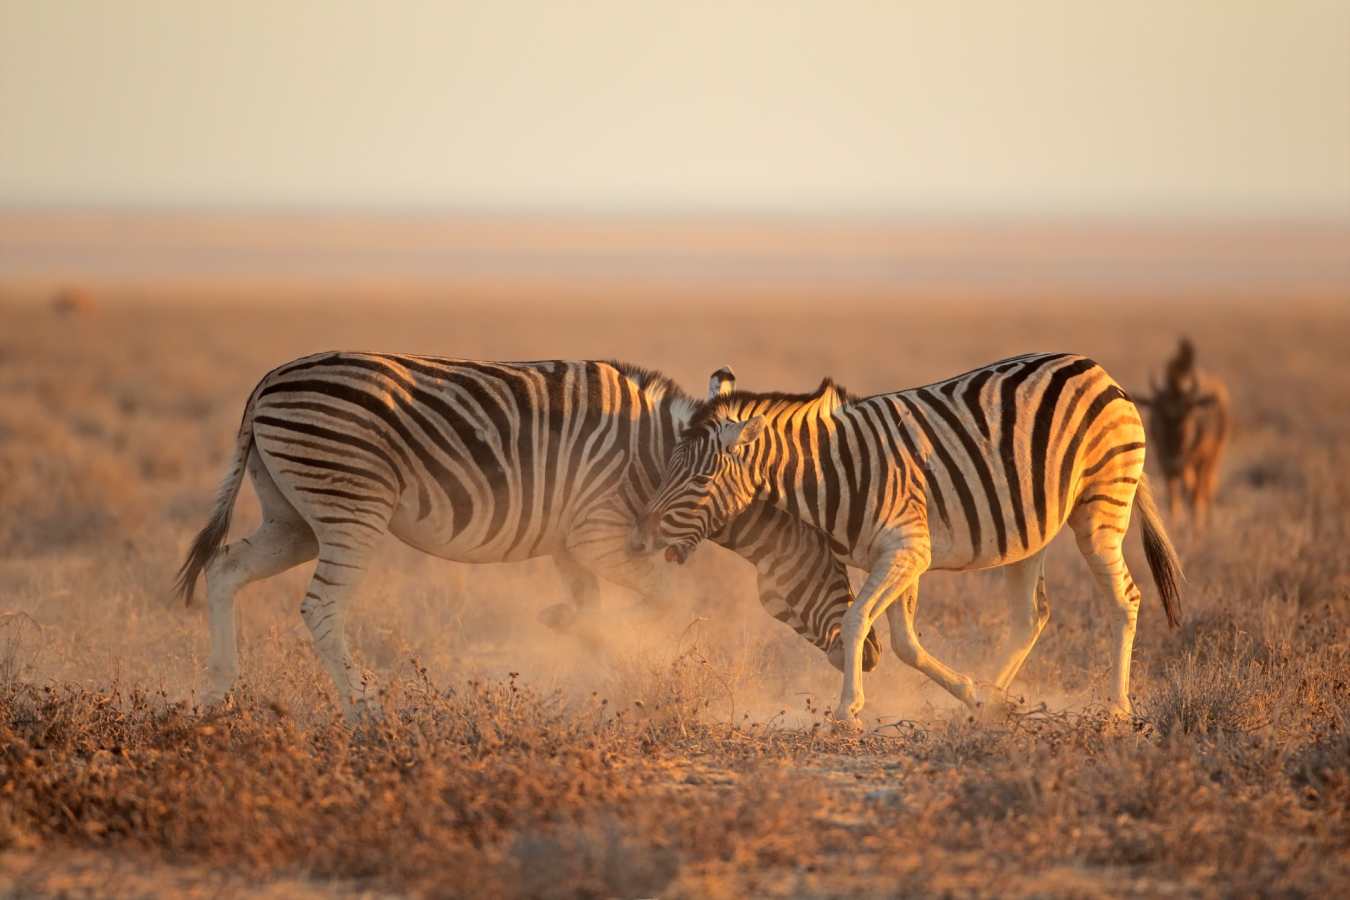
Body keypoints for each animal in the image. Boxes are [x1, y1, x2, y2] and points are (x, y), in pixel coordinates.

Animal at [175, 354, 880, 720]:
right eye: (836, 568)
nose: (868, 658)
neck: (660, 460)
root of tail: (268, 380)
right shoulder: (601, 535)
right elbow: (663, 601)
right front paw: (602, 644)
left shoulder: (572, 545)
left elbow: (598, 607)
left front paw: (591, 668)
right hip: (351, 508)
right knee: (322, 607)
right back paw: (368, 711)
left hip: (292, 518)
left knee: (226, 570)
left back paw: (214, 692)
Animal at [632, 352, 1183, 727]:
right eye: (669, 468)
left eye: (700, 480)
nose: (642, 533)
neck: (832, 471)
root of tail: (1097, 369)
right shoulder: (901, 556)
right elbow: (904, 644)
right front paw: (971, 695)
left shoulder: (907, 549)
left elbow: (857, 621)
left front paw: (846, 711)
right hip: (1034, 530)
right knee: (1031, 616)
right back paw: (994, 698)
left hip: (1101, 506)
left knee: (1126, 599)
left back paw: (1117, 708)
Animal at [1136, 338, 1231, 527]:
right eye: (1159, 413)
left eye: (1188, 412)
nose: (1175, 460)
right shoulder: (1165, 463)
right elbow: (1173, 499)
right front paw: (1175, 525)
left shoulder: (1199, 460)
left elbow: (1195, 494)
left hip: (1215, 455)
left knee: (1207, 488)